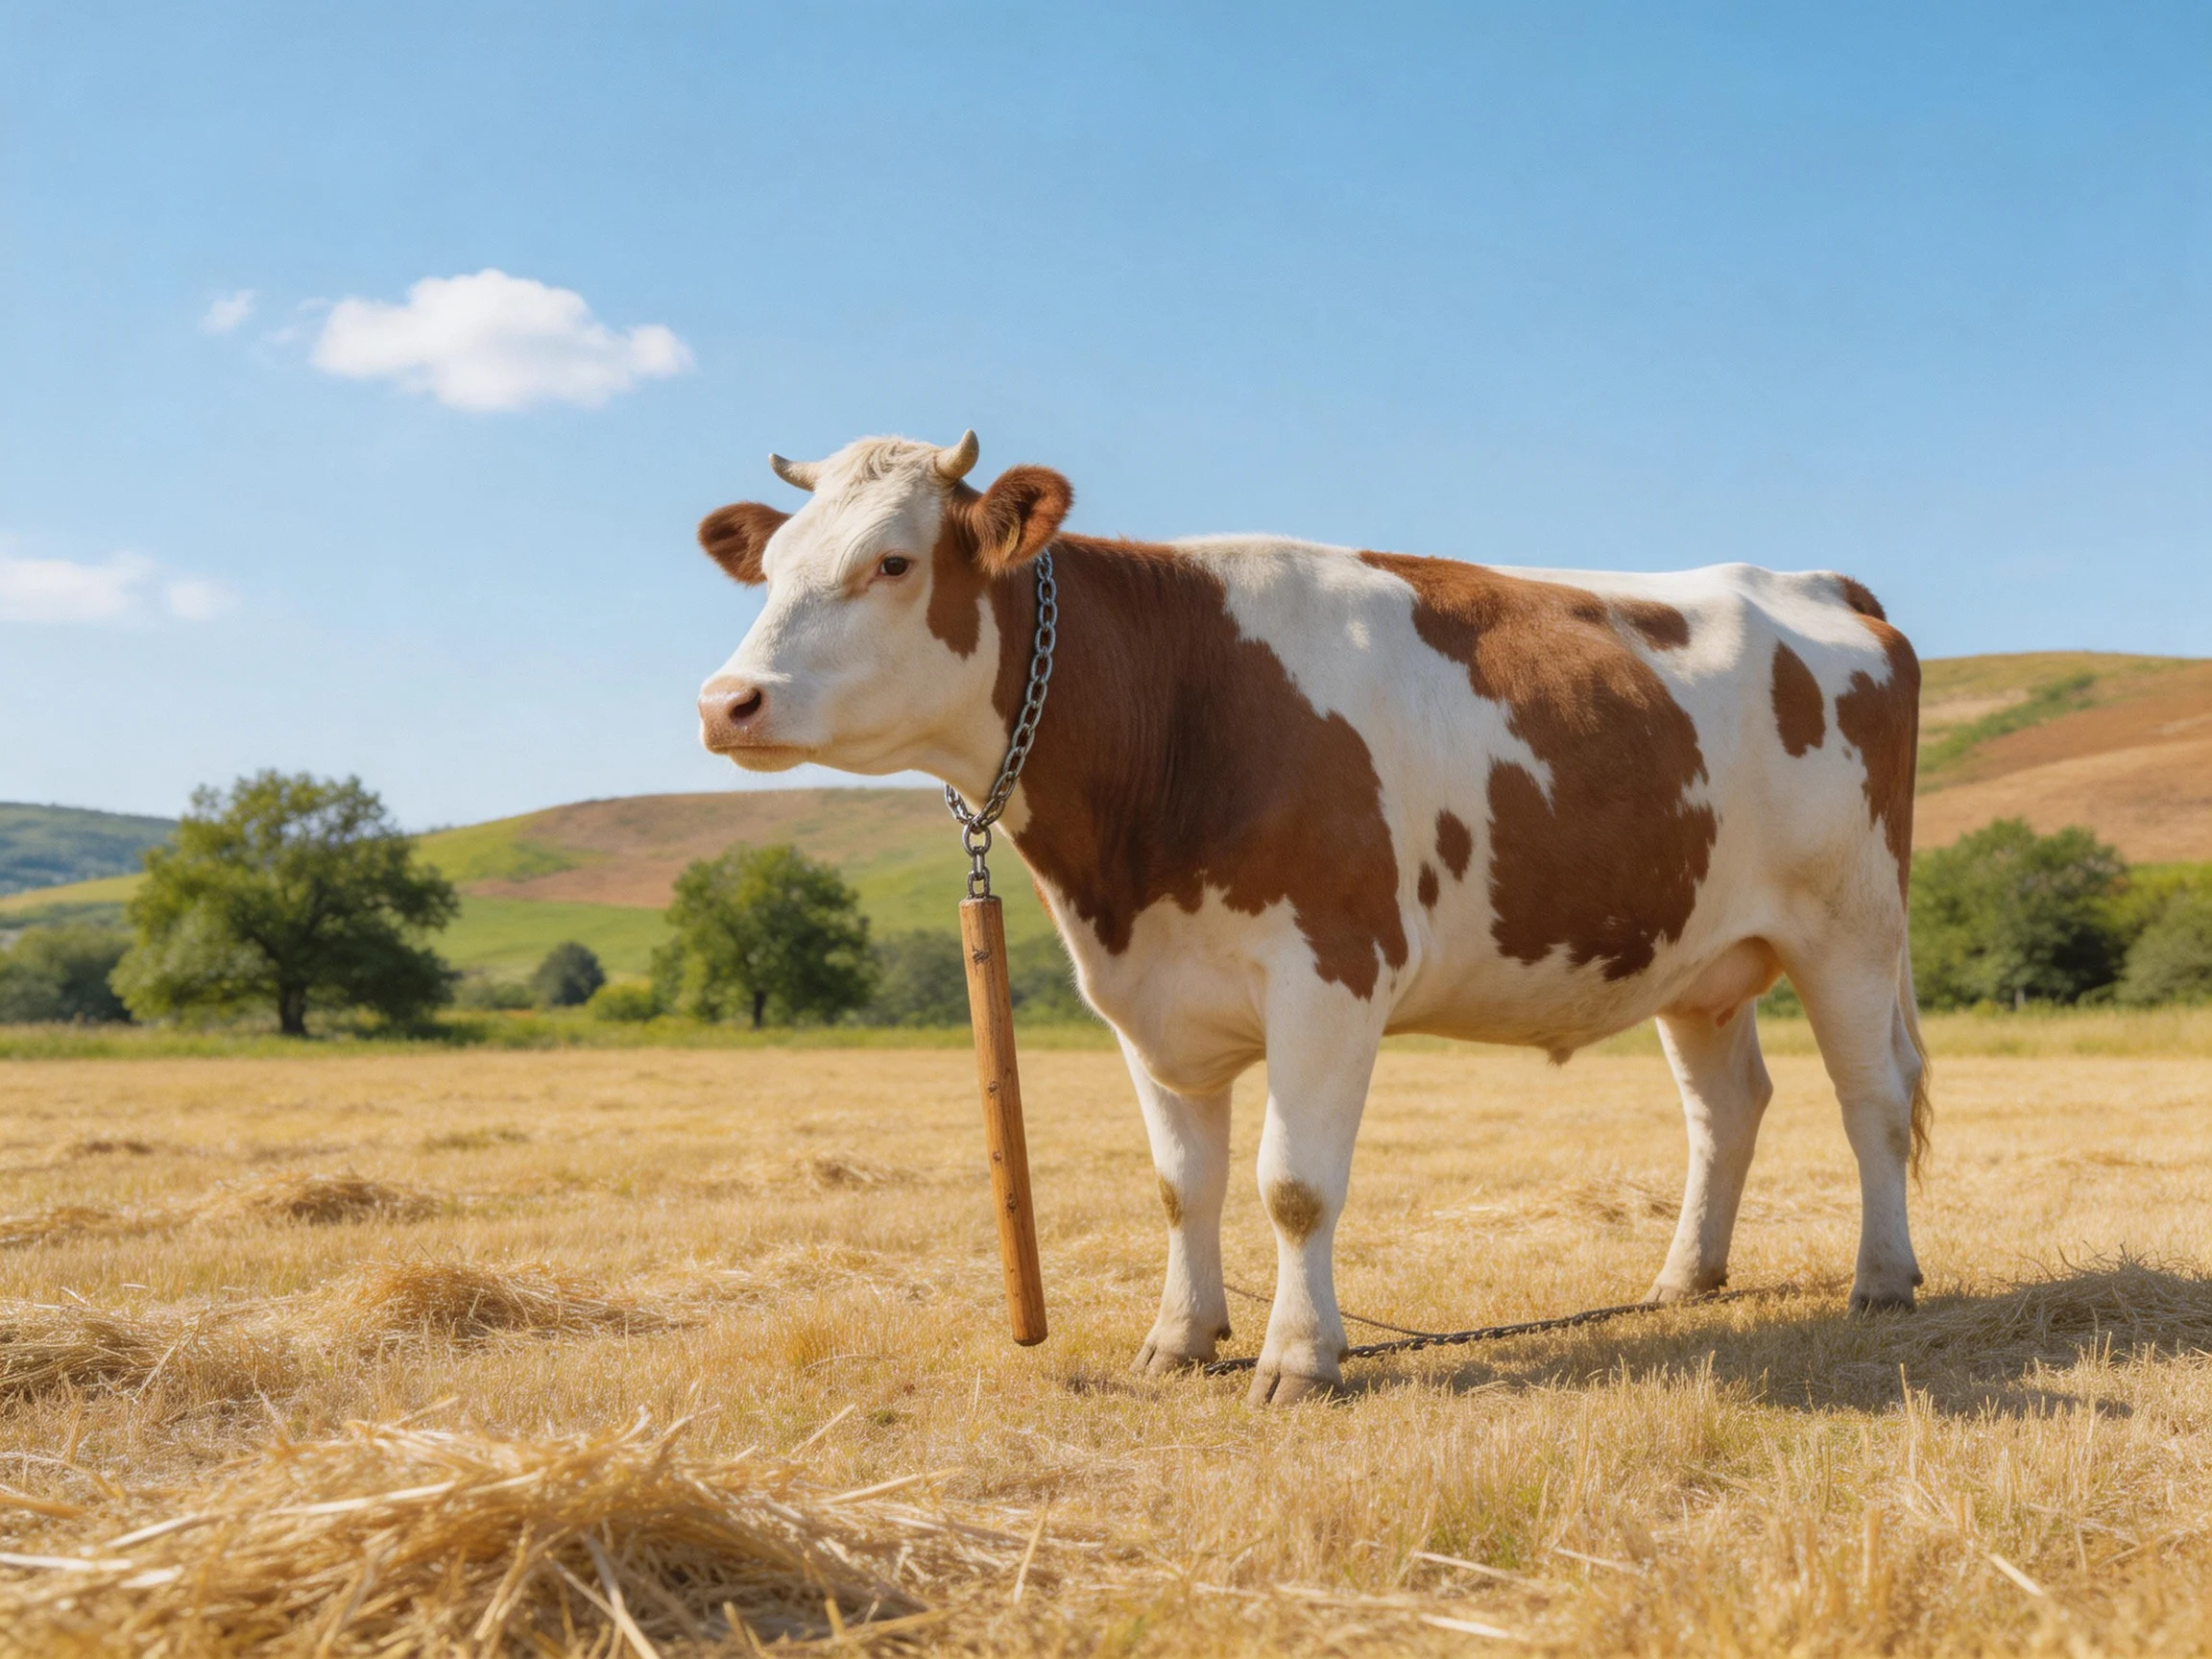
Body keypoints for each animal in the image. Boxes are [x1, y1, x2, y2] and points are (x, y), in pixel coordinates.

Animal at [693, 431, 1930, 1404]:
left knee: (1871, 1096)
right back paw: (1683, 1281)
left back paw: (1882, 1278)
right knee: (1727, 1109)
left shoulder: (1330, 973)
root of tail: (1821, 584)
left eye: (892, 562)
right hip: (1696, 950)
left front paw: (1297, 1358)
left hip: (1851, 924)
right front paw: (1180, 1339)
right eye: (774, 570)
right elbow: (1181, 1183)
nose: (725, 701)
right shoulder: (1146, 993)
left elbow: (1293, 1185)